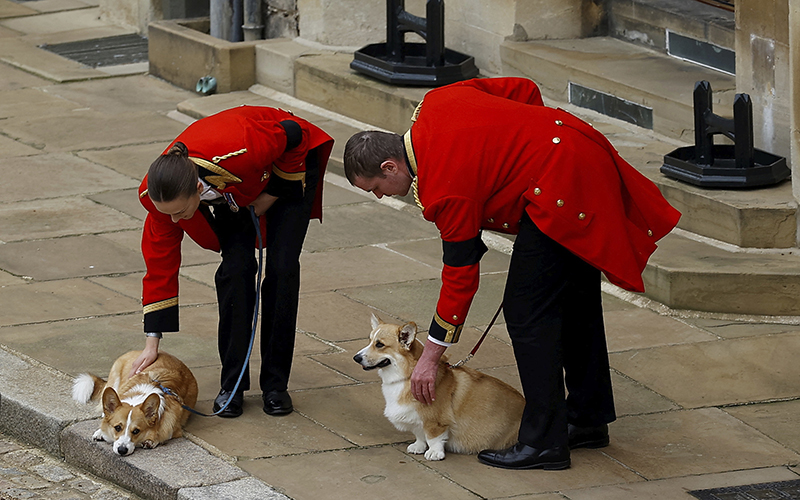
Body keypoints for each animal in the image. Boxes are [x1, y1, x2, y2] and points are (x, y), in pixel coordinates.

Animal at [354, 316, 520, 460]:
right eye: (369, 341)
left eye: (380, 344)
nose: (356, 358)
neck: (407, 376)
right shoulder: (415, 418)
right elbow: (420, 435)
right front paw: (418, 446)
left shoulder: (435, 421)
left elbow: (433, 437)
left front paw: (434, 453)